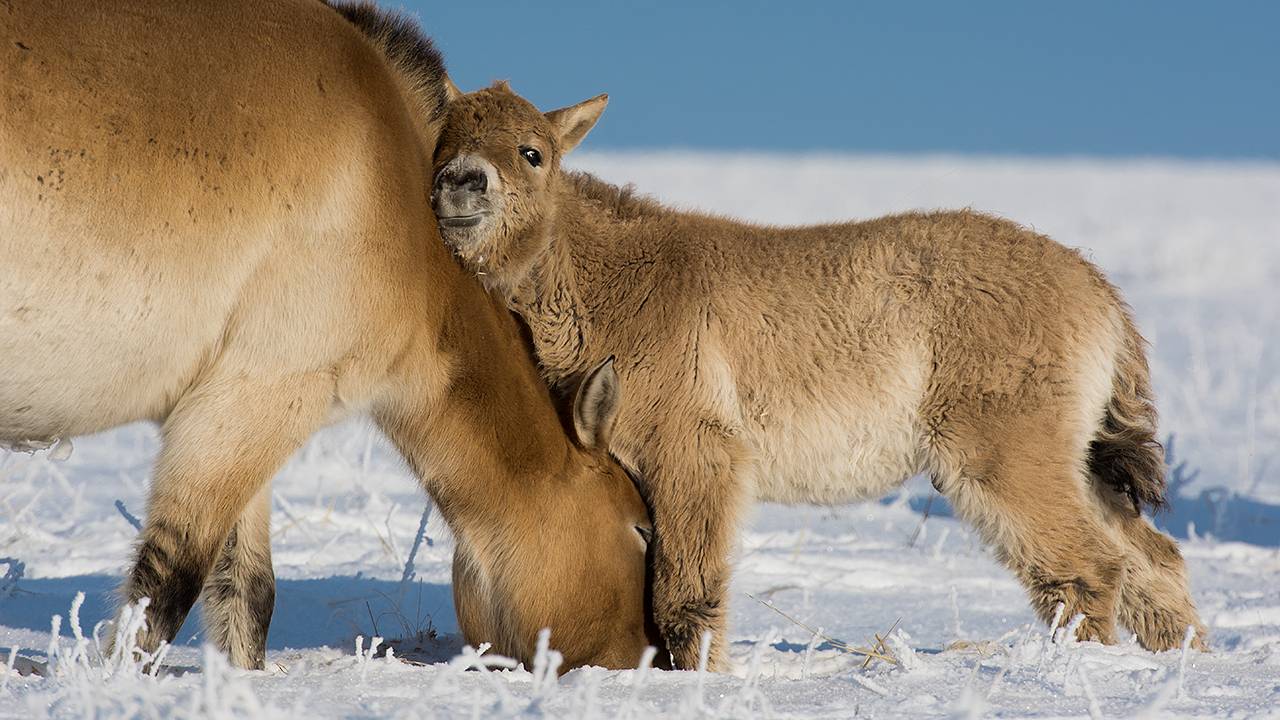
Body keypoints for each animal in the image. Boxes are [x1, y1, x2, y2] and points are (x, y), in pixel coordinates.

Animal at [0, 1, 655, 666]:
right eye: (641, 530)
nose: (646, 659)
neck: (400, 211)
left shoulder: (237, 415)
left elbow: (246, 593)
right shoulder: (259, 394)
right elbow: (162, 595)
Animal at [432, 81, 1208, 666]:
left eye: (533, 153)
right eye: (441, 144)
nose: (462, 183)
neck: (610, 279)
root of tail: (1098, 291)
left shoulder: (695, 451)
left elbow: (683, 594)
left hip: (1003, 449)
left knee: (1089, 566)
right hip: (1071, 456)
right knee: (1153, 559)